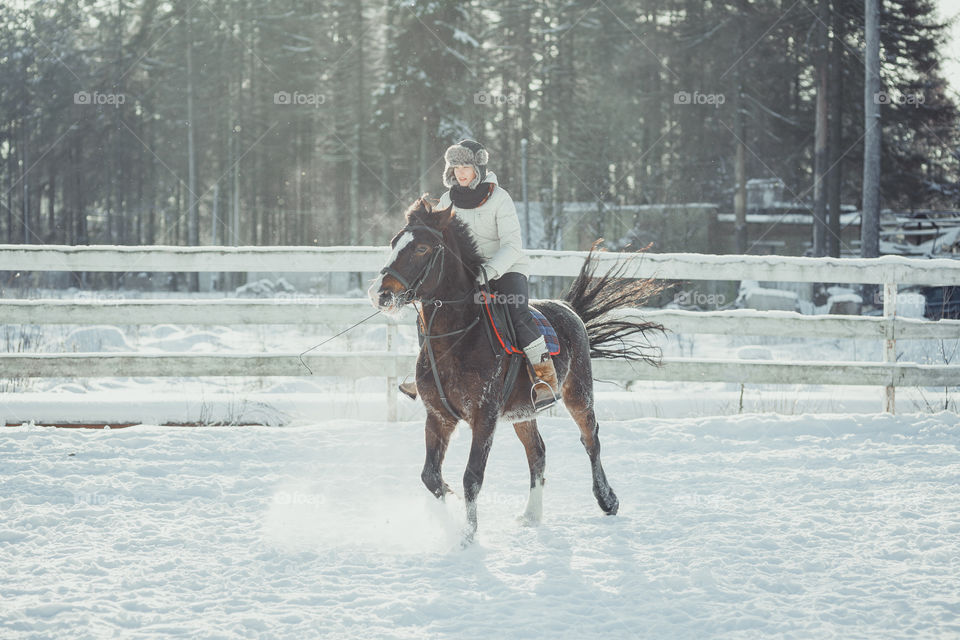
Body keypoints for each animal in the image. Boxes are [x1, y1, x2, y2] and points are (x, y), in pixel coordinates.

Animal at [366, 196, 660, 544]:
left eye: (422, 248)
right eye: (394, 242)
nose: (381, 293)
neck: (459, 337)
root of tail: (568, 309)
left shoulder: (485, 416)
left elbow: (472, 477)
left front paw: (468, 536)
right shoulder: (438, 416)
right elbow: (431, 477)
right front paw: (449, 513)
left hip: (579, 395)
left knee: (591, 441)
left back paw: (607, 499)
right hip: (524, 412)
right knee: (538, 453)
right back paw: (531, 514)